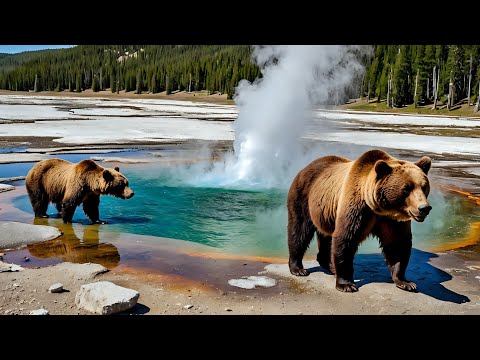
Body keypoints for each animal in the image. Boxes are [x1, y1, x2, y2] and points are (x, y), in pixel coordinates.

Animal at [286, 149, 434, 292]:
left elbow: (397, 244)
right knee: (299, 230)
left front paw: (405, 282)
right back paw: (298, 268)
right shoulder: (357, 208)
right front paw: (346, 284)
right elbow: (345, 238)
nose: (424, 208)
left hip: (325, 211)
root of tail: (305, 168)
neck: (379, 208)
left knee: (325, 235)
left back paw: (328, 265)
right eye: (406, 188)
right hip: (303, 197)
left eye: (424, 186)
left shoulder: (392, 220)